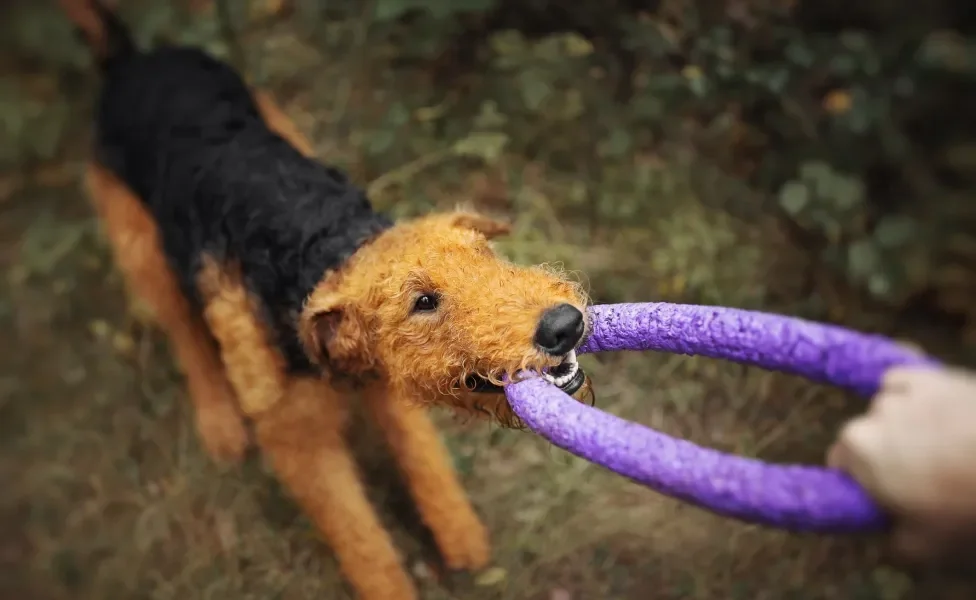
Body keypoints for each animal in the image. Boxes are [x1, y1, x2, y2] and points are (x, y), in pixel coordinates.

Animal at [63, 2, 596, 596]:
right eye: (423, 302)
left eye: (483, 253)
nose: (564, 325)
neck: (312, 246)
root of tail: (134, 60)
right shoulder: (298, 437)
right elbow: (359, 535)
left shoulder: (386, 386)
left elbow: (423, 460)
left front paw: (463, 543)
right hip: (144, 254)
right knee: (186, 337)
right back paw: (221, 427)